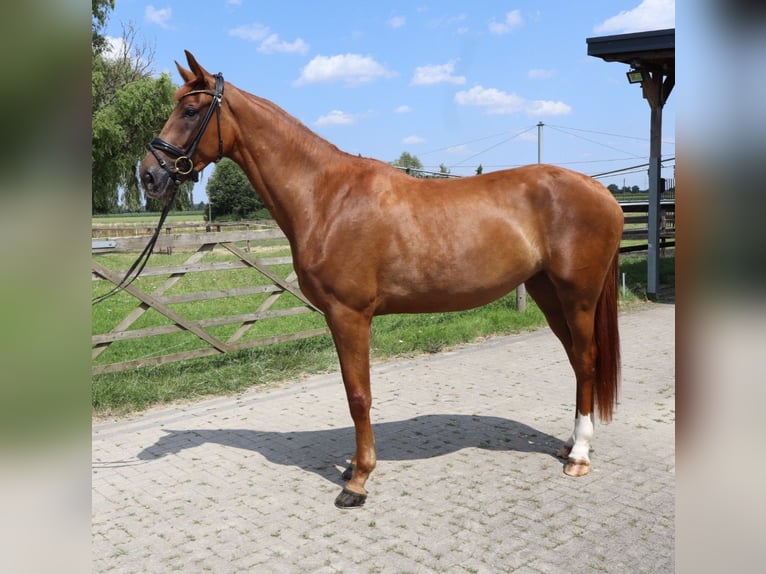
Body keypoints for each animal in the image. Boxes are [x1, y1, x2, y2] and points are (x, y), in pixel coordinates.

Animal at [141, 51, 628, 510]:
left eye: (190, 111)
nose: (148, 174)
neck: (327, 196)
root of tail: (602, 193)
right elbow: (353, 390)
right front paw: (353, 468)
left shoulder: (349, 315)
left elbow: (358, 394)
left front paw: (358, 481)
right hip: (548, 292)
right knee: (576, 361)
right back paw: (569, 443)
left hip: (578, 296)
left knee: (587, 361)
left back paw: (579, 455)